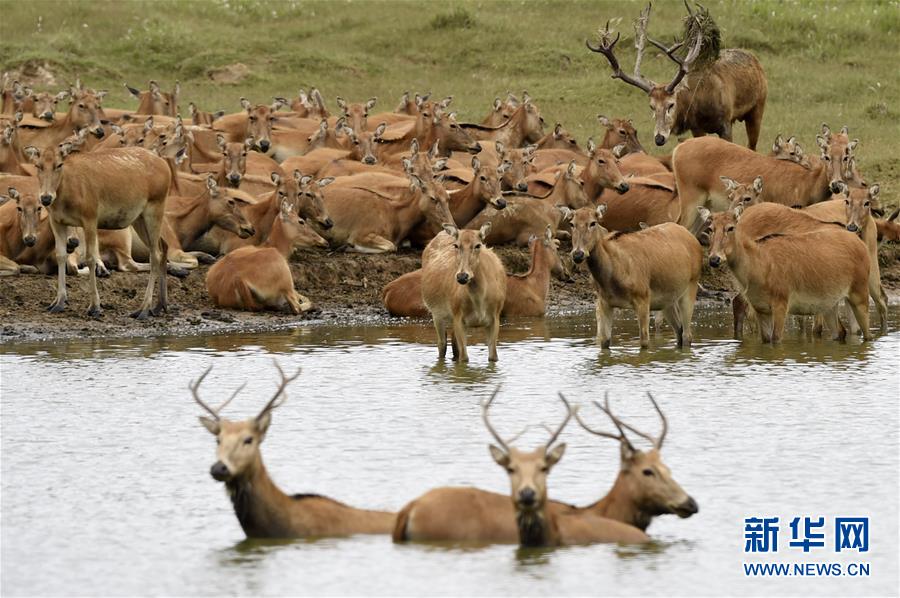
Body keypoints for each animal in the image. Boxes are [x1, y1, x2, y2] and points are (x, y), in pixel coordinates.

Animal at [422, 225, 506, 364]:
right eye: (456, 245)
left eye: (478, 245)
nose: (462, 276)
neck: (479, 302)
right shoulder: (458, 316)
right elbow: (464, 358)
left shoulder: (495, 317)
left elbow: (493, 357)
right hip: (436, 313)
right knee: (442, 344)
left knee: (453, 344)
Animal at [568, 206, 704, 350]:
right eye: (572, 224)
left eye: (593, 222)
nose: (578, 254)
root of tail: (695, 240)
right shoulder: (604, 302)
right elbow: (604, 342)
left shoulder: (643, 298)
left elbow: (644, 342)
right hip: (668, 300)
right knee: (679, 331)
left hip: (691, 285)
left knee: (687, 335)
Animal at [592, 3, 768, 150]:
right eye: (651, 106)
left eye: (671, 104)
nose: (659, 138)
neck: (701, 103)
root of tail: (754, 58)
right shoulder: (697, 127)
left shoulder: (725, 124)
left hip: (758, 107)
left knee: (752, 146)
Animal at [704, 206, 872, 344]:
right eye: (710, 228)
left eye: (730, 227)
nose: (714, 259)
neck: (758, 267)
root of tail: (861, 243)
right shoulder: (761, 309)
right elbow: (766, 340)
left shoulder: (781, 303)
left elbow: (776, 339)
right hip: (830, 304)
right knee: (840, 332)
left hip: (860, 295)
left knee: (867, 335)